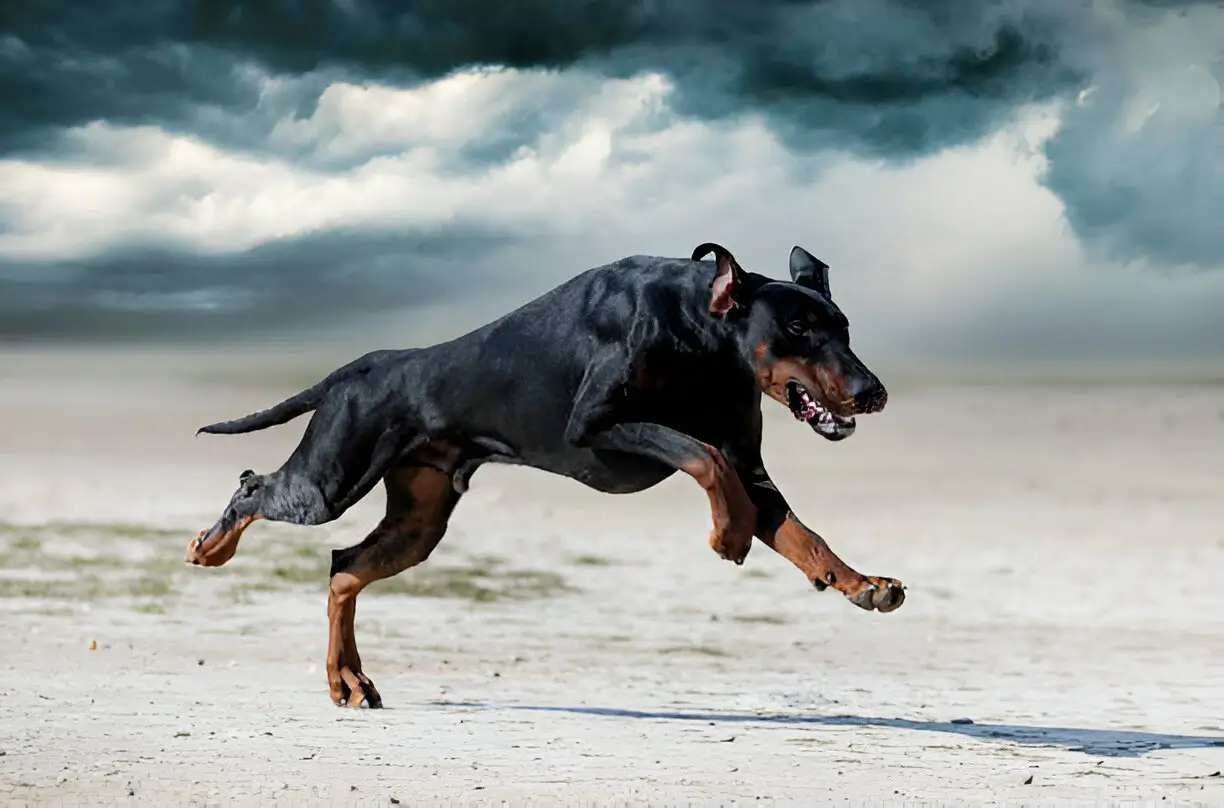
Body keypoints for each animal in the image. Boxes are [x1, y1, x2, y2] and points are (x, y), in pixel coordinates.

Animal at [186, 244, 905, 705]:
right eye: (797, 328)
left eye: (843, 326)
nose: (872, 392)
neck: (701, 332)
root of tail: (355, 368)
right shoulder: (597, 425)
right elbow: (704, 456)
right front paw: (727, 534)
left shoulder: (751, 466)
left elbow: (800, 532)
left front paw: (863, 584)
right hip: (330, 479)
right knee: (255, 487)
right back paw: (211, 546)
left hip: (417, 522)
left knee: (343, 567)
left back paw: (348, 680)